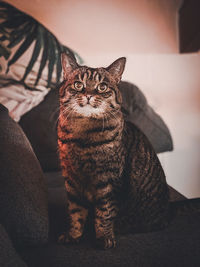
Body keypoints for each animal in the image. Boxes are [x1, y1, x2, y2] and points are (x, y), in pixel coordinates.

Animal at [57, 53, 170, 250]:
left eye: (102, 87)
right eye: (78, 84)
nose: (88, 95)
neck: (82, 134)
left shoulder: (109, 182)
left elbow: (105, 212)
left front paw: (104, 238)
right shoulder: (71, 179)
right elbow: (75, 211)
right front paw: (73, 235)